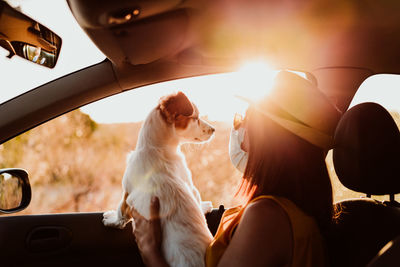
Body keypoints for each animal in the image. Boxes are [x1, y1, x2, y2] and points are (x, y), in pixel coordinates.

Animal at [103, 92, 216, 267]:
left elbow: (121, 211)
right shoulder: (188, 183)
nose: (214, 129)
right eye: (195, 118)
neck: (157, 148)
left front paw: (111, 220)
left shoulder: (127, 191)